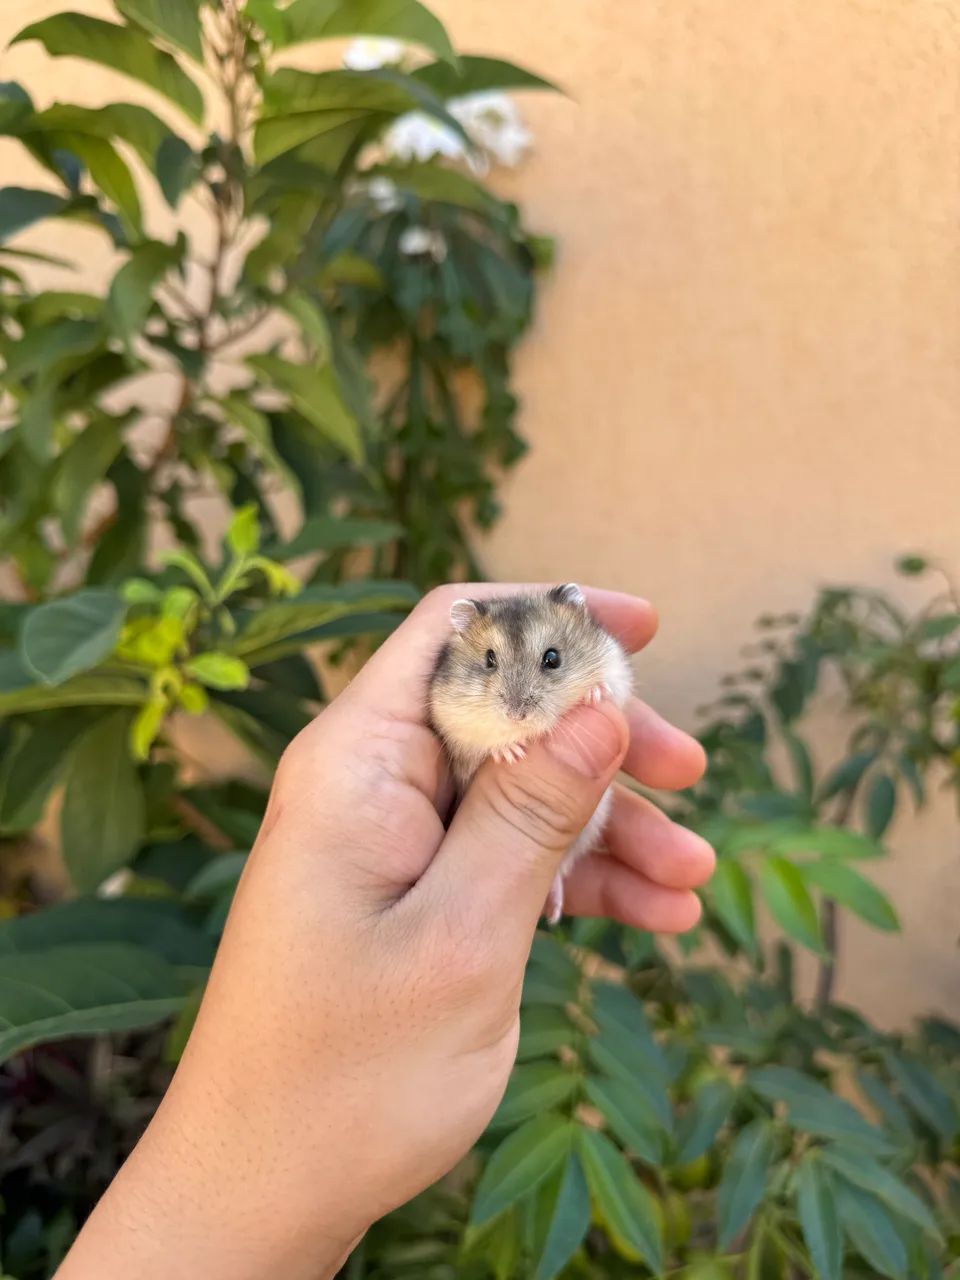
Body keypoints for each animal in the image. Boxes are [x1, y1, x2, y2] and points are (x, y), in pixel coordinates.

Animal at [428, 583, 633, 924]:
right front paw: (511, 752)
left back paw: (555, 911)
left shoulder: (616, 667)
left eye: (552, 658)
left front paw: (594, 694)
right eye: (489, 660)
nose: (516, 715)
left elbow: (611, 690)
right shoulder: (454, 727)